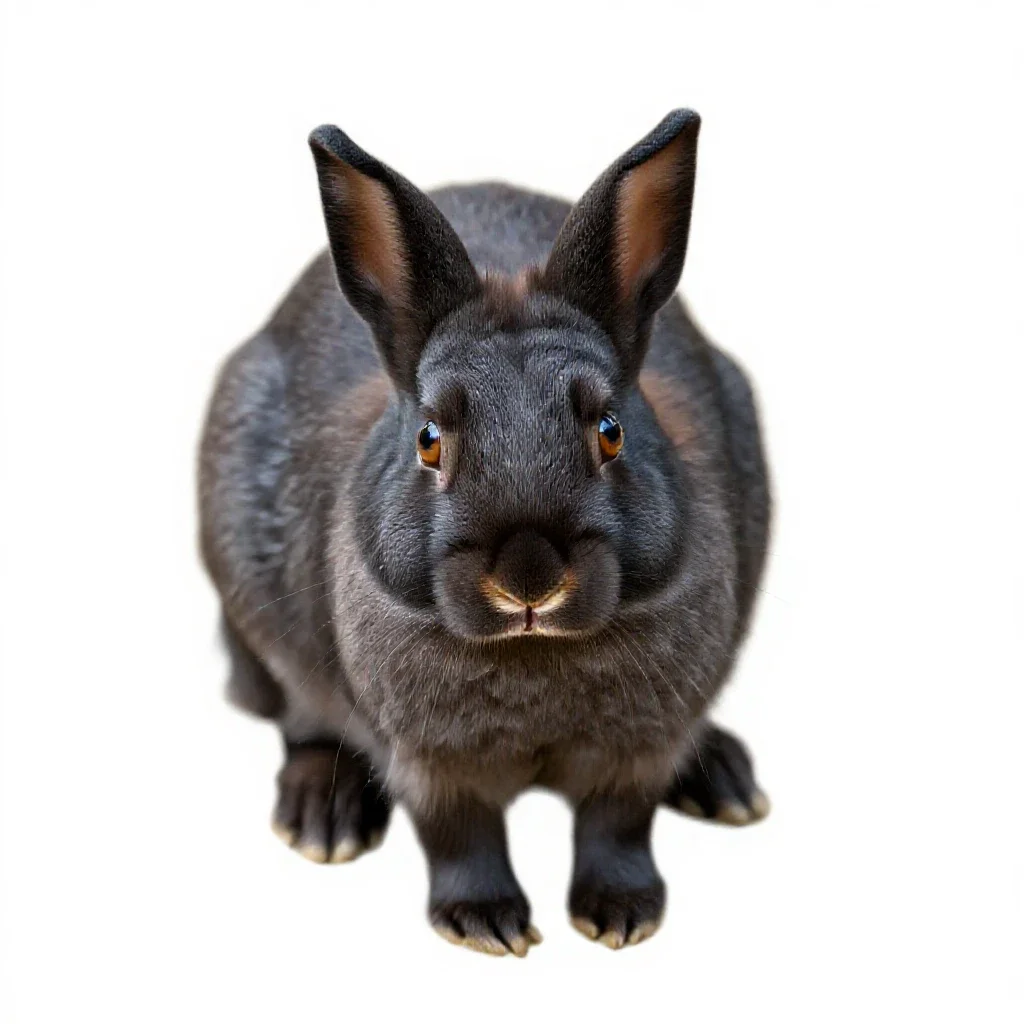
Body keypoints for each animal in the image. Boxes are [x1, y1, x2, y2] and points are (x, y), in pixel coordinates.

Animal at [199, 108, 771, 957]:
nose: (528, 578)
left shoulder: (640, 750)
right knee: (303, 722)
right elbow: (460, 835)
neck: (534, 654)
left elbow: (618, 825)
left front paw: (622, 914)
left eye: (610, 431)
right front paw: (486, 924)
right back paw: (322, 821)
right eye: (430, 441)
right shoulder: (433, 766)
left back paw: (725, 780)